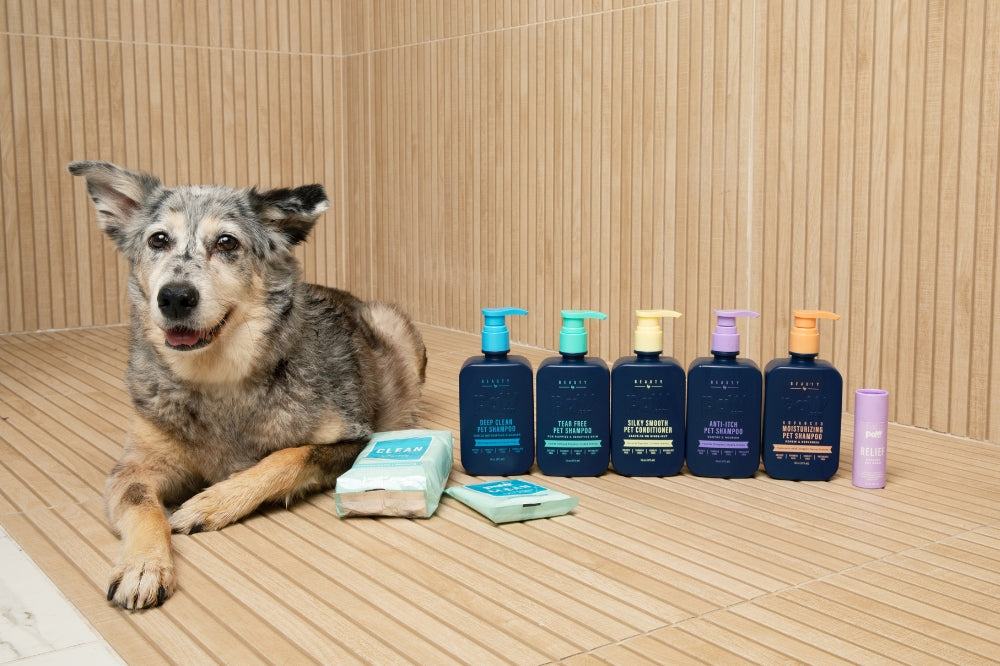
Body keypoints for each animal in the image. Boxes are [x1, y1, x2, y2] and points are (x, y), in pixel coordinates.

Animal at [66, 161, 426, 608]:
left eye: (226, 242)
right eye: (158, 239)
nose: (175, 297)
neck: (218, 379)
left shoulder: (355, 438)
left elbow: (287, 456)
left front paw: (214, 502)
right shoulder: (133, 469)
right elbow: (142, 508)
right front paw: (143, 565)